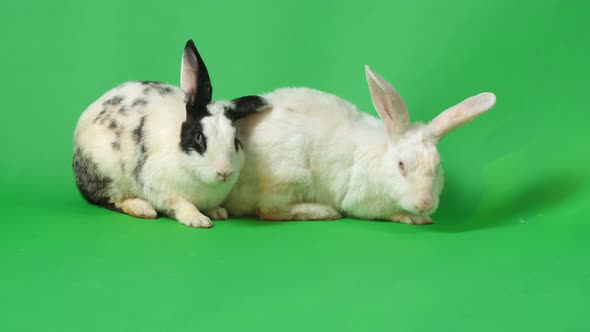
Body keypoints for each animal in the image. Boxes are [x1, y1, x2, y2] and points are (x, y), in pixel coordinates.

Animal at [73, 37, 270, 227]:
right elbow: (182, 204)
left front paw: (218, 212)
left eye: (235, 139)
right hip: (108, 175)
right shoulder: (161, 189)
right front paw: (198, 220)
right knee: (109, 199)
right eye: (198, 137)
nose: (224, 172)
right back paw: (142, 209)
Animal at [224, 66, 498, 224]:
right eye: (401, 165)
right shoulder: (361, 200)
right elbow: (383, 212)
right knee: (268, 210)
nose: (425, 204)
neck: (381, 158)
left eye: (438, 166)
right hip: (288, 175)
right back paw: (324, 212)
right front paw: (413, 218)